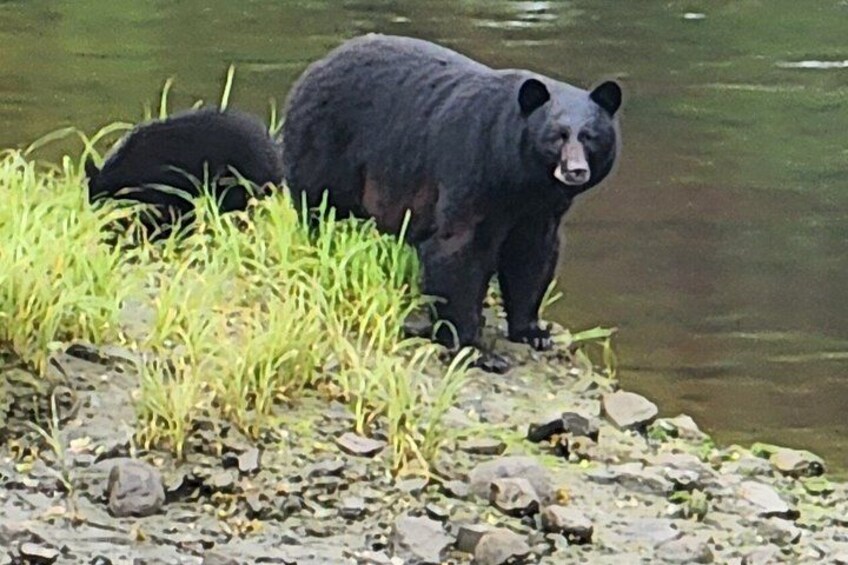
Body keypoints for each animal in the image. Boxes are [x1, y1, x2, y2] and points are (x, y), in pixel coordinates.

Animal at [280, 34, 622, 368]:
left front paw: (533, 332)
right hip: (325, 146)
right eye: (556, 136)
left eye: (589, 136)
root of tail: (315, 66)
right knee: (315, 204)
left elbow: (531, 257)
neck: (520, 178)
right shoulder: (472, 168)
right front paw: (477, 348)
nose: (575, 170)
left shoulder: (540, 209)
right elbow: (456, 252)